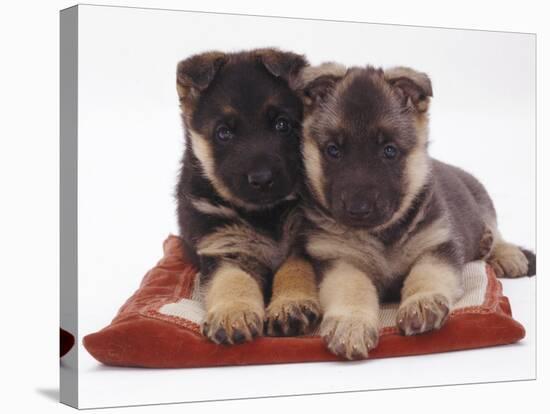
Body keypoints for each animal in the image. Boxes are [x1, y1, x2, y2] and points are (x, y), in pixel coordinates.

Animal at [177, 48, 322, 346]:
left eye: (282, 125)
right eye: (223, 133)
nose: (262, 179)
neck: (265, 215)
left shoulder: (302, 241)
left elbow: (295, 270)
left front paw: (290, 305)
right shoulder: (223, 248)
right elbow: (232, 281)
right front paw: (233, 314)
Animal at [296, 64, 536, 360]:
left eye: (389, 151)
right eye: (333, 150)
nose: (358, 209)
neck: (382, 235)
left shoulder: (437, 247)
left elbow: (426, 274)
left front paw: (421, 303)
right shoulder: (338, 260)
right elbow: (352, 288)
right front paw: (351, 323)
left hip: (481, 199)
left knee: (495, 229)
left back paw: (504, 252)